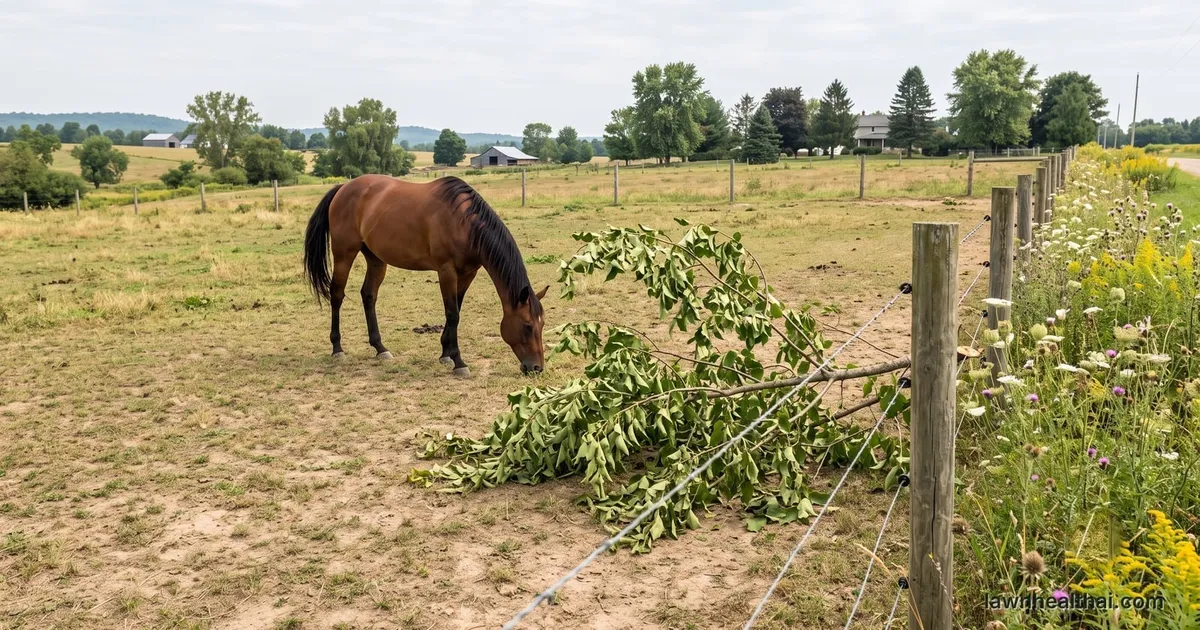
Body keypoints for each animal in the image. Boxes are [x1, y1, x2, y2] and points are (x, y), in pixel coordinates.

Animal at [302, 175, 547, 377]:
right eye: (527, 326)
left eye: (542, 324)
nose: (536, 368)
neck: (465, 223)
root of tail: (343, 188)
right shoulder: (446, 271)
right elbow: (452, 314)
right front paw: (459, 362)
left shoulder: (468, 273)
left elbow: (456, 311)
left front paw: (445, 354)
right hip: (344, 253)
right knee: (337, 294)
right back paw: (337, 349)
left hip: (376, 259)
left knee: (368, 295)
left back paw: (380, 348)